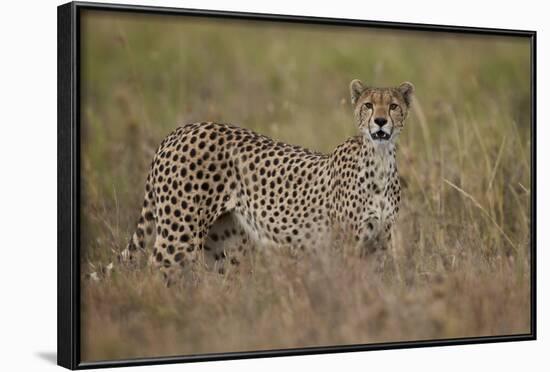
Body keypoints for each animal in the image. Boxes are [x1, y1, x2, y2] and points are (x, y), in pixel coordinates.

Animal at [121, 80, 414, 280]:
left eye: (393, 106)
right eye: (368, 105)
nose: (380, 121)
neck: (379, 160)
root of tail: (180, 130)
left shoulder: (379, 241)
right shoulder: (346, 244)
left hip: (224, 244)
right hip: (180, 231)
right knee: (156, 271)